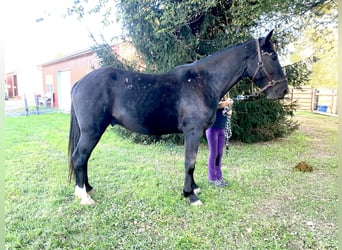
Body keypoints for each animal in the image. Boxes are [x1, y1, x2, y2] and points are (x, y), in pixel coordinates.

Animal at [68, 30, 288, 205]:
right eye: (273, 56)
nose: (284, 90)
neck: (202, 82)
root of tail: (79, 83)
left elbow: (192, 162)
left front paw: (195, 188)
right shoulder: (192, 131)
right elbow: (189, 162)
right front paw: (190, 195)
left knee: (84, 158)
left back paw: (88, 188)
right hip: (92, 131)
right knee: (79, 157)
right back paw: (84, 196)